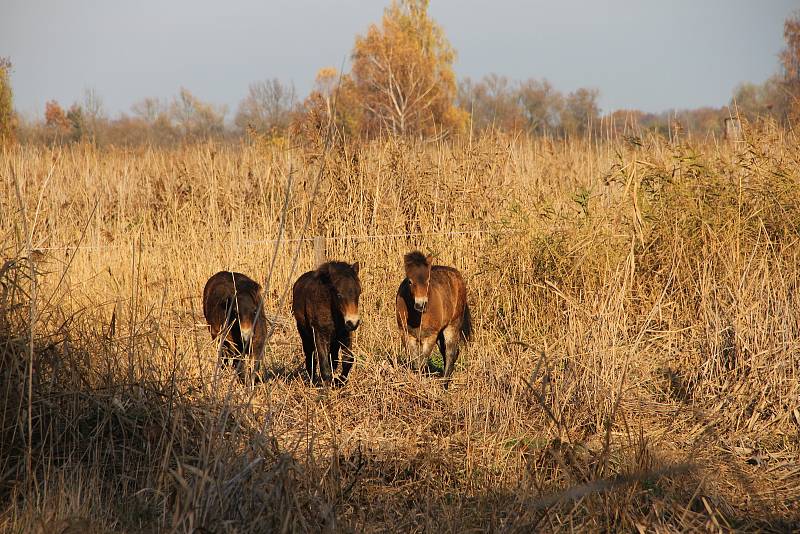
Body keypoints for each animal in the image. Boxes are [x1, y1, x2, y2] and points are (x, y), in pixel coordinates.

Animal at [396, 253, 472, 388]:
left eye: (428, 280)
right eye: (410, 281)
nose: (420, 305)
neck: (417, 317)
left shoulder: (430, 336)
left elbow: (423, 361)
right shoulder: (406, 334)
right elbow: (414, 361)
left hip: (452, 326)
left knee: (450, 353)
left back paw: (444, 385)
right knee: (445, 352)